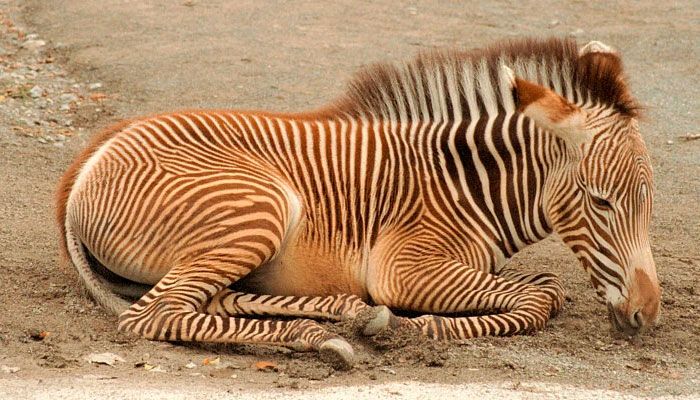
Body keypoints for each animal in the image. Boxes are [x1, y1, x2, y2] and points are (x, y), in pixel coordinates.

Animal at [55, 37, 660, 369]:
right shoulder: (405, 267)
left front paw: (389, 322)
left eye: (647, 202)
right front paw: (416, 329)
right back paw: (321, 338)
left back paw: (347, 315)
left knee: (209, 301)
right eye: (602, 202)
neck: (467, 185)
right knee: (152, 315)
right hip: (260, 207)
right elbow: (541, 299)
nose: (648, 314)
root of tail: (88, 161)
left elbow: (545, 288)